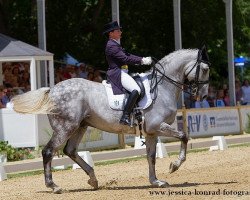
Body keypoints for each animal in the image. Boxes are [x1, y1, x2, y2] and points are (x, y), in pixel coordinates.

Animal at [12, 47, 211, 193]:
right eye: (206, 69)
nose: (203, 95)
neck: (162, 87)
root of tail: (52, 90)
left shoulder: (151, 131)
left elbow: (151, 156)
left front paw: (156, 181)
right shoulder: (158, 126)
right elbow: (184, 136)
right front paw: (174, 166)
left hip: (80, 126)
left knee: (70, 150)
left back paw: (93, 179)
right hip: (65, 127)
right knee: (49, 151)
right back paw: (54, 186)